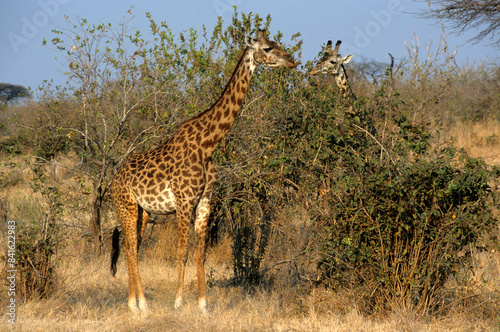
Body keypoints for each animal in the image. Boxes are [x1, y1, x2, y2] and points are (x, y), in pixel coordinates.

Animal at [110, 28, 296, 314]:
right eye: (266, 48)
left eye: (278, 44)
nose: (291, 61)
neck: (207, 145)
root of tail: (114, 176)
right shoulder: (184, 201)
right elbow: (182, 252)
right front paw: (178, 302)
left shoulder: (205, 201)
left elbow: (200, 253)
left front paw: (203, 305)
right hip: (126, 205)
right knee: (130, 247)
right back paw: (138, 305)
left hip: (142, 210)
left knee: (134, 247)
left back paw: (137, 303)